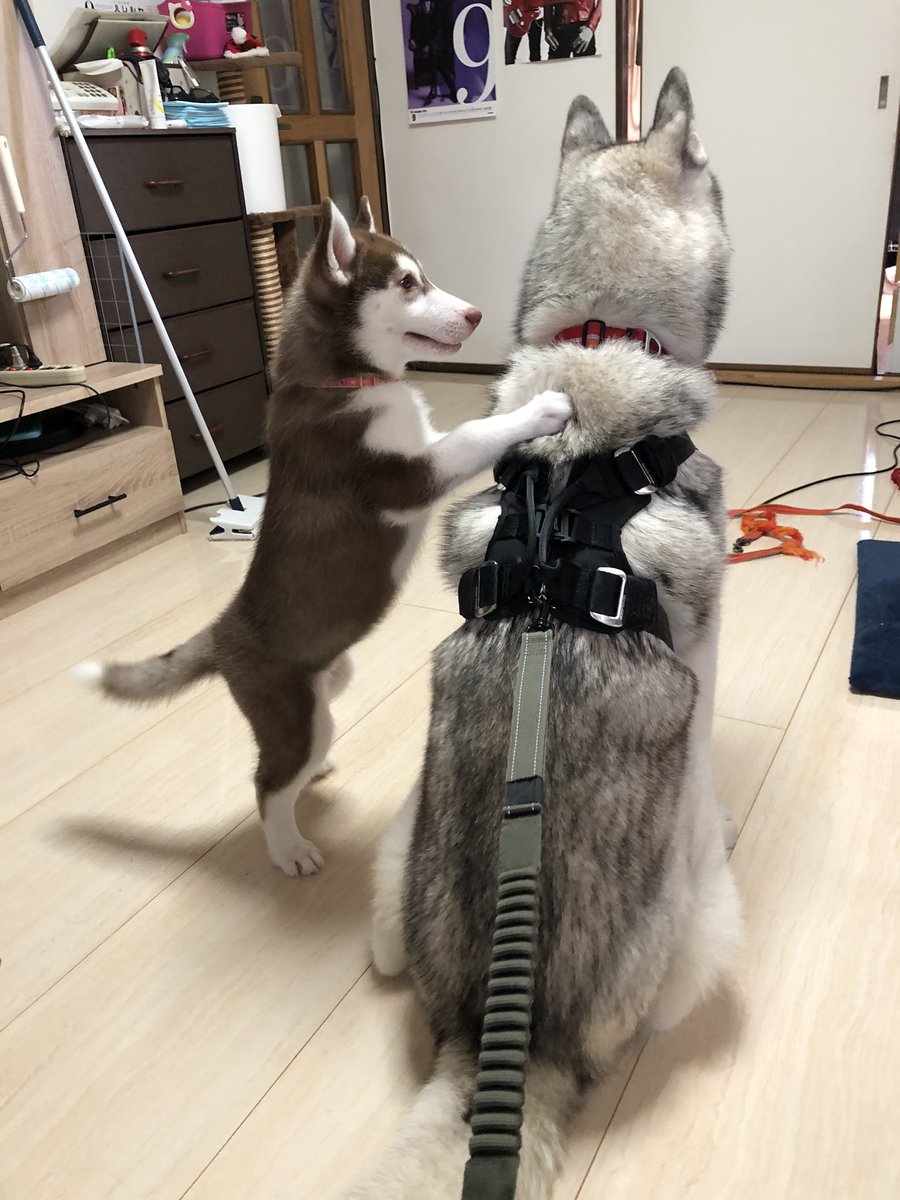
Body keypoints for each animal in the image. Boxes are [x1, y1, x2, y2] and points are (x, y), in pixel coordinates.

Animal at [76, 199, 572, 878]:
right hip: (290, 712)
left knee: (303, 748)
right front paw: (542, 410)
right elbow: (475, 432)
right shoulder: (405, 475)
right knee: (267, 782)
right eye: (407, 284)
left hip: (329, 680)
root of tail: (223, 629)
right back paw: (289, 849)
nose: (475, 313)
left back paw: (317, 773)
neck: (343, 383)